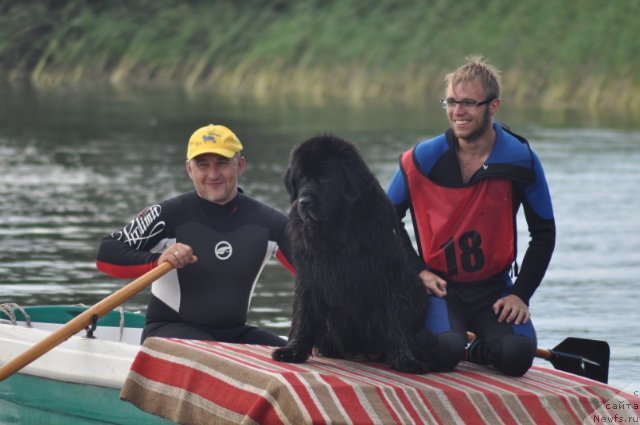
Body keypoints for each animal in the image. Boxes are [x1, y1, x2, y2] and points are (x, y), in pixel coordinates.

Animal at [272, 134, 432, 372]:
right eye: (301, 178)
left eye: (325, 178)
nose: (304, 201)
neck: (336, 228)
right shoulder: (309, 274)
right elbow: (303, 315)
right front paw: (292, 350)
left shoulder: (387, 273)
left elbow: (395, 319)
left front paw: (405, 359)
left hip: (417, 287)